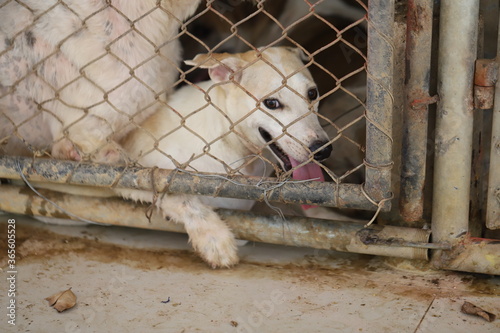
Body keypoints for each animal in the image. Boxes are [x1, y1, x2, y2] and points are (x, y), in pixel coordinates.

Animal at [117, 45, 334, 266]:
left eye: (312, 93)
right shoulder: (129, 174)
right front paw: (214, 238)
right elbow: (178, 195)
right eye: (272, 103)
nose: (322, 150)